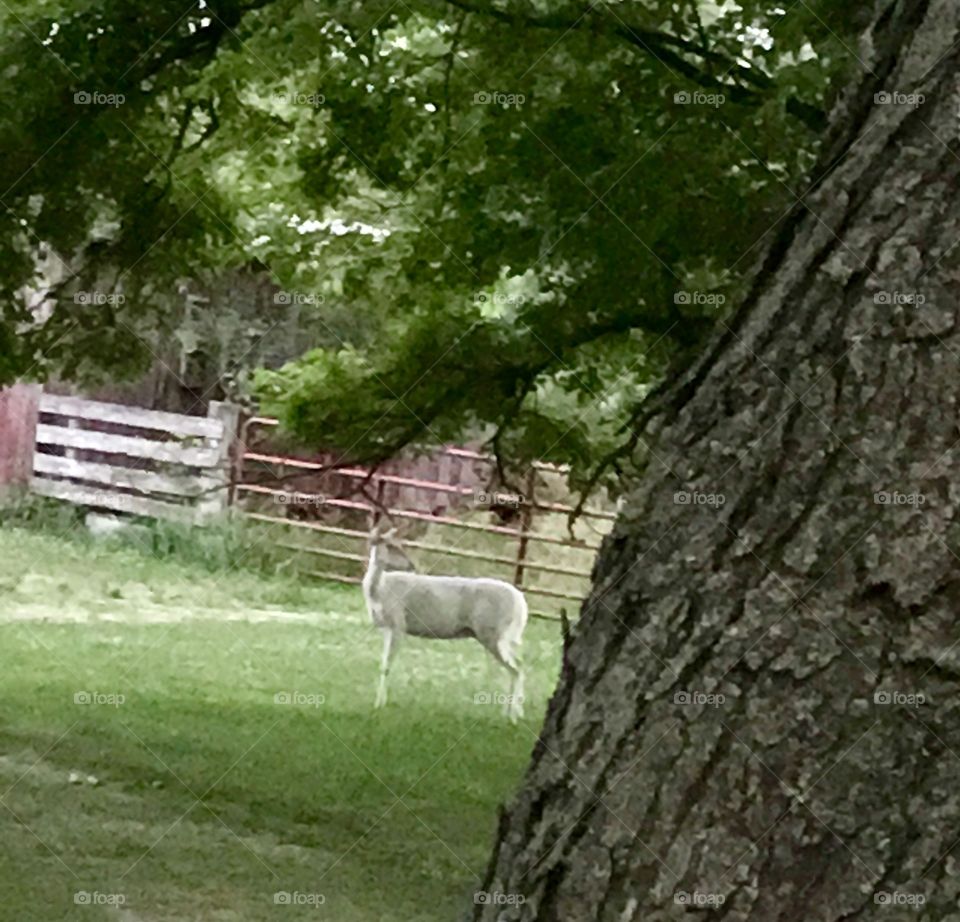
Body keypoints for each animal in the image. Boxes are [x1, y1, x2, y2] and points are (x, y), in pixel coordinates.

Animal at [362, 516, 528, 720]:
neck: (379, 591)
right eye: (391, 545)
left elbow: (387, 666)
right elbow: (383, 664)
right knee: (517, 666)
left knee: (516, 668)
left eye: (399, 544)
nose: (411, 565)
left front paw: (379, 705)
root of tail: (520, 602)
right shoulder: (387, 628)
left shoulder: (399, 623)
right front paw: (379, 703)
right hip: (503, 637)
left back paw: (513, 716)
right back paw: (510, 713)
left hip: (493, 633)